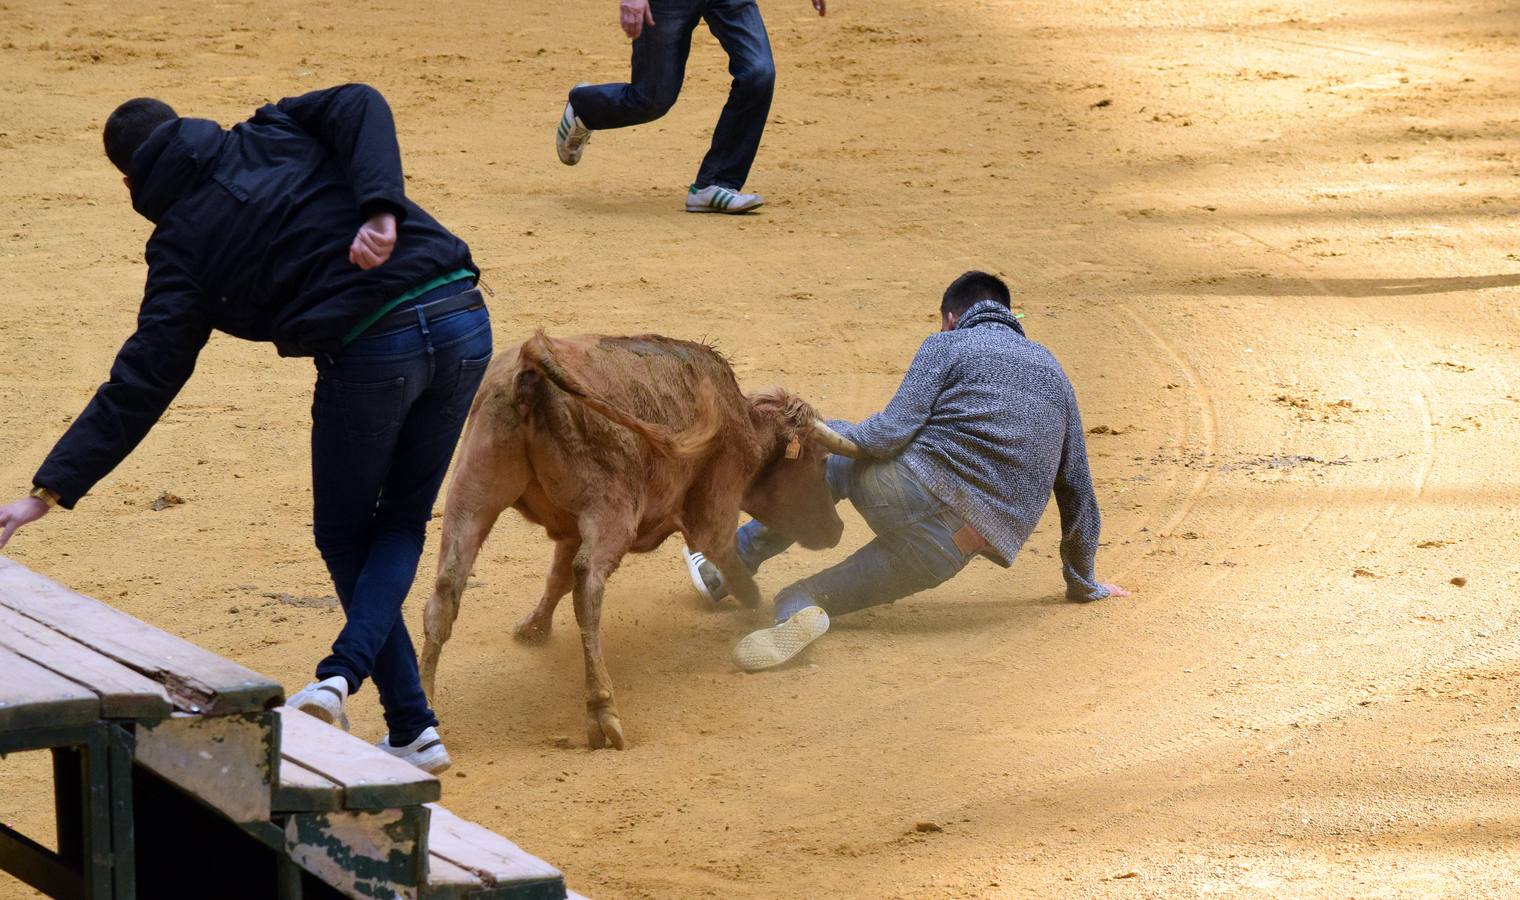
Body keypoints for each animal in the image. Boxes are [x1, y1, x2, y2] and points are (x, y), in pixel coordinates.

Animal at [422, 334, 863, 747]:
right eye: (819, 461)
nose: (837, 529)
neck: (744, 420)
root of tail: (533, 365)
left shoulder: (570, 530)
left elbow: (555, 578)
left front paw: (532, 629)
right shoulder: (715, 507)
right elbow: (726, 556)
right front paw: (754, 605)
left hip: (471, 492)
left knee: (447, 587)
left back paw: (425, 707)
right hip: (611, 510)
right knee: (588, 585)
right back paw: (602, 711)